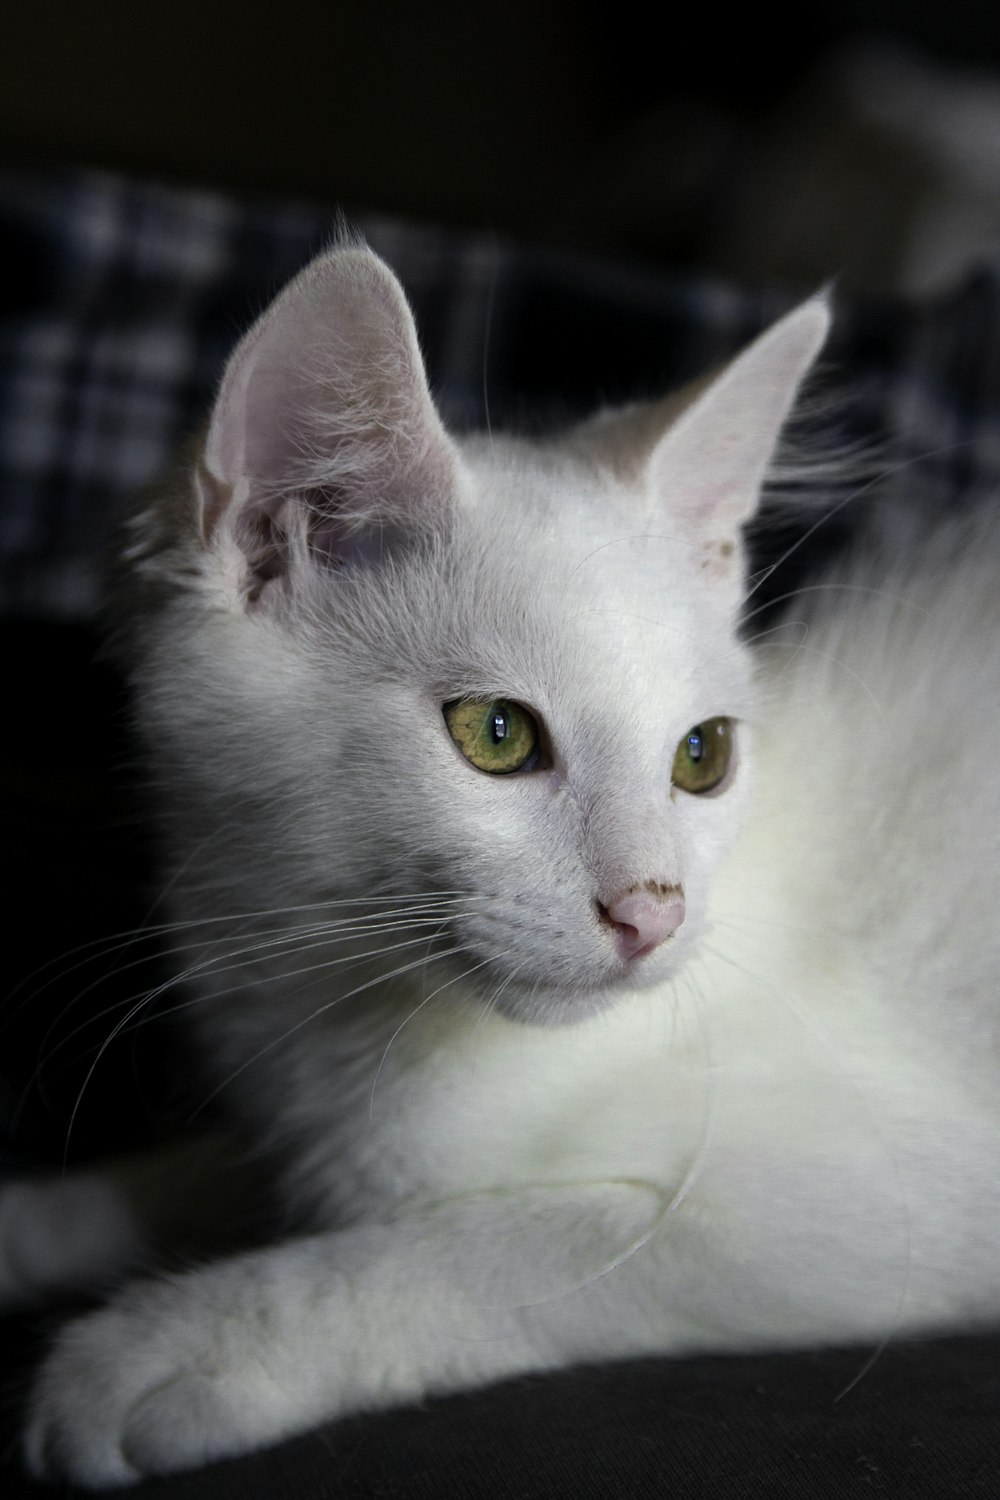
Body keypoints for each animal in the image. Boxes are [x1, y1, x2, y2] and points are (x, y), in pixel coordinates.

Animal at [17, 246, 1000, 1488]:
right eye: (495, 735)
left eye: (702, 757)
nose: (651, 913)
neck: (344, 1028)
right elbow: (208, 1169)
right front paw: (38, 1222)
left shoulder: (885, 1201)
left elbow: (485, 1245)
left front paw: (164, 1347)